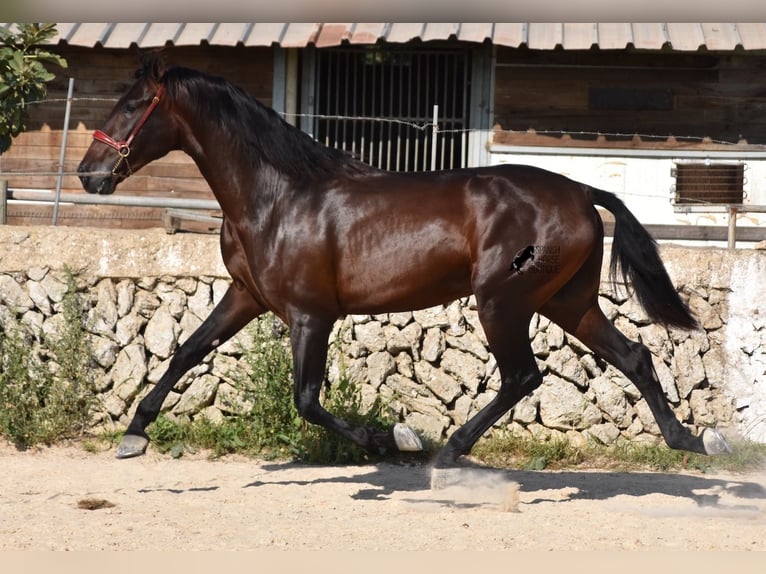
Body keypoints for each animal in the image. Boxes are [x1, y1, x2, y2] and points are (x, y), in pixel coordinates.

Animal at [78, 55, 732, 472]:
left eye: (134, 105)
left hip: (503, 301)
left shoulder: (312, 316)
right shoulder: (247, 296)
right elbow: (187, 351)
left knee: (524, 376)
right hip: (566, 302)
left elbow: (307, 399)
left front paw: (394, 438)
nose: (89, 174)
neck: (278, 197)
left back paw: (447, 449)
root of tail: (580, 191)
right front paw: (134, 433)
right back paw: (690, 440)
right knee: (633, 356)